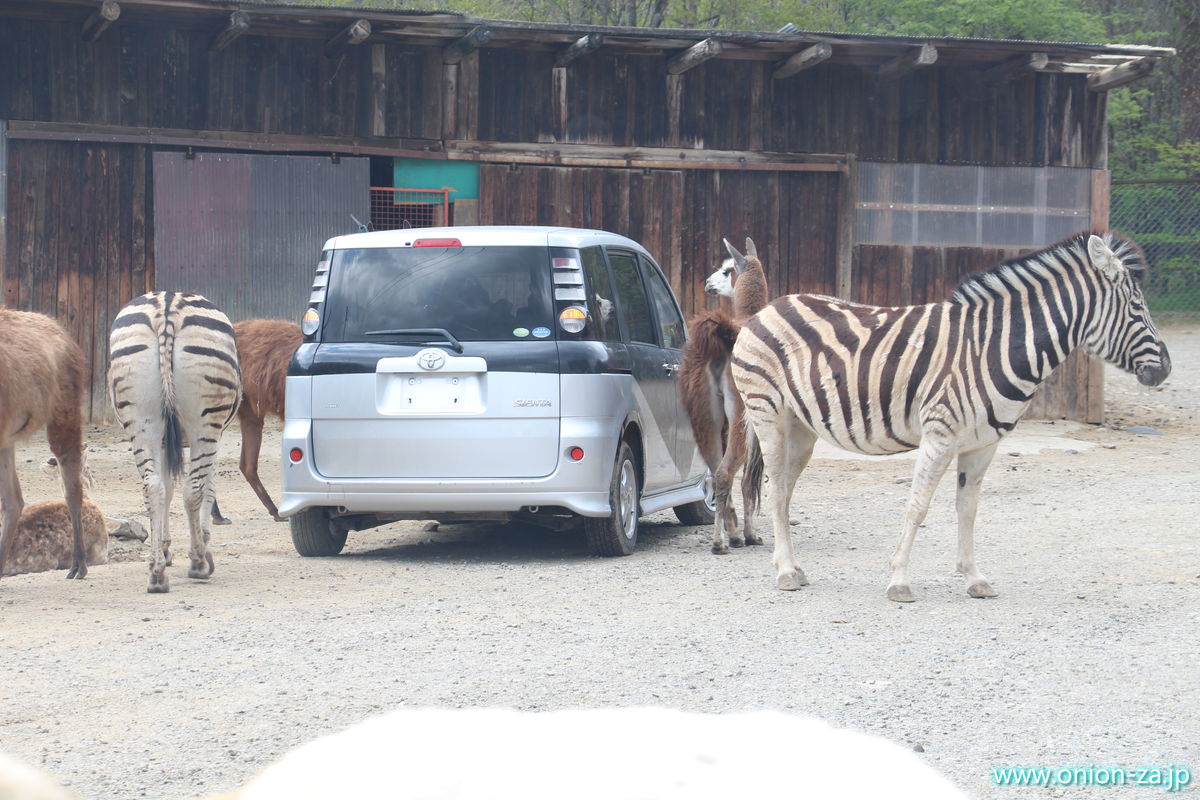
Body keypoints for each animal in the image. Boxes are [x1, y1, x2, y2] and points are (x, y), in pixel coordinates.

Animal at [110, 293, 243, 594]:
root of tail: (167, 306)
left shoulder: (162, 442)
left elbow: (167, 490)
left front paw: (163, 550)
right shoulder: (218, 437)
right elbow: (208, 490)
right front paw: (203, 545)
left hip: (141, 419)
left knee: (152, 487)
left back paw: (157, 574)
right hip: (204, 424)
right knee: (193, 489)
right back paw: (199, 563)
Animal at [729, 231, 1171, 599]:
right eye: (1137, 307)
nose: (1165, 369)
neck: (994, 347)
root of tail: (769, 308)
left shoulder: (983, 444)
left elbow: (968, 509)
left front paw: (974, 578)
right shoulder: (940, 433)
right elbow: (918, 505)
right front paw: (899, 581)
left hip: (802, 426)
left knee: (784, 491)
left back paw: (794, 567)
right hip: (768, 413)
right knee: (775, 489)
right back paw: (786, 573)